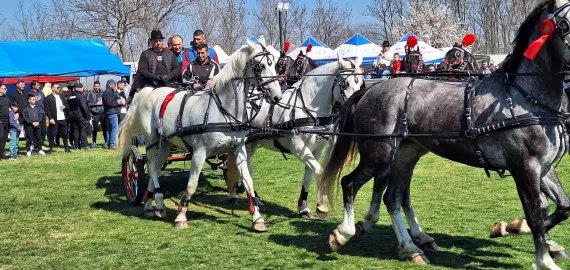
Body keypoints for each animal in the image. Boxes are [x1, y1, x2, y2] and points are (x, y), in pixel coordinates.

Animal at [117, 36, 282, 232]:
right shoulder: (199, 152)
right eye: (260, 66)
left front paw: (257, 218)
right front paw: (181, 216)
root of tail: (149, 91)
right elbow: (191, 185)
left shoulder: (238, 149)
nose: (278, 96)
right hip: (152, 141)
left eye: (275, 64)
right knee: (148, 166)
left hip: (166, 143)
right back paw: (155, 200)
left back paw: (152, 205)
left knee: (155, 167)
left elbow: (248, 181)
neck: (223, 109)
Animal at [224, 55, 362, 219]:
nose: (357, 109)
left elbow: (309, 175)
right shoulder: (298, 148)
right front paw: (322, 206)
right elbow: (320, 171)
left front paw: (303, 208)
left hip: (252, 143)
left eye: (360, 83)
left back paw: (253, 198)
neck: (307, 108)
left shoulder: (317, 150)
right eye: (345, 84)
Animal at [318, 1, 568, 268]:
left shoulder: (543, 167)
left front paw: (510, 228)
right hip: (378, 154)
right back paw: (344, 233)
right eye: (565, 25)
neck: (523, 98)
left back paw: (411, 247)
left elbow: (560, 207)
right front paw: (543, 258)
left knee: (394, 198)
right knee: (350, 183)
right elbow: (535, 215)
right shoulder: (524, 166)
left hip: (405, 154)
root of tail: (370, 90)